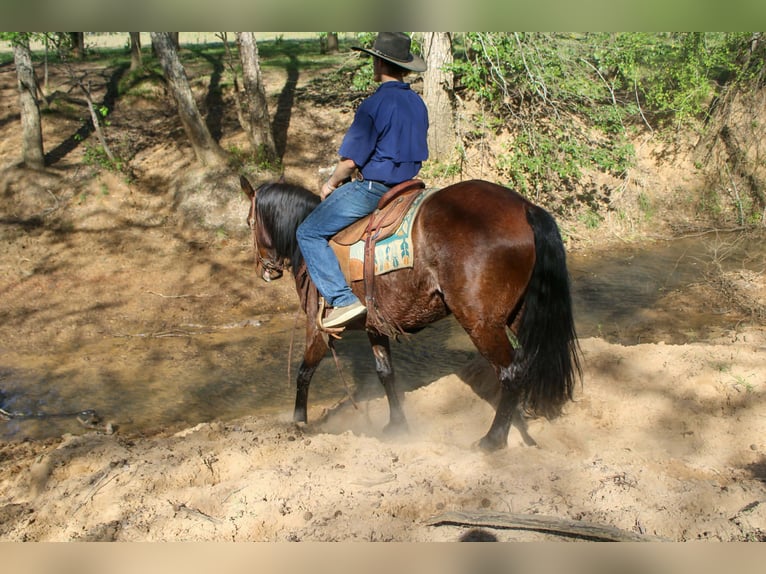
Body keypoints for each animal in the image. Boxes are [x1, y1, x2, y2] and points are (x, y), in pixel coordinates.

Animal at [240, 176, 581, 451]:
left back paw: (492, 440)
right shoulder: (375, 327)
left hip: (481, 323)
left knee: (511, 373)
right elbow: (386, 374)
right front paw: (396, 426)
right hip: (518, 315)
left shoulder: (318, 327)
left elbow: (304, 373)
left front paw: (297, 422)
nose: (263, 270)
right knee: (529, 362)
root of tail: (524, 207)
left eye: (249, 222)